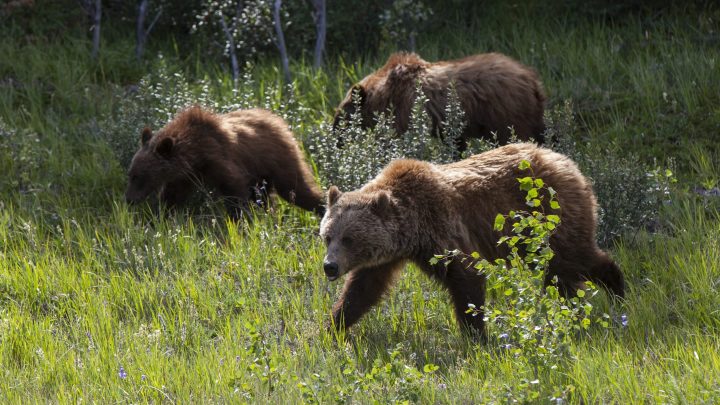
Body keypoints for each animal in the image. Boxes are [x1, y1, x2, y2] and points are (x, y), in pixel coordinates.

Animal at [125, 105, 324, 216]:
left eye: (138, 176)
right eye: (131, 174)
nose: (129, 199)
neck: (195, 154)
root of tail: (278, 120)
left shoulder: (220, 160)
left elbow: (234, 190)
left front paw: (239, 220)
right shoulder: (184, 176)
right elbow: (171, 196)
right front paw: (160, 217)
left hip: (278, 159)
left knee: (295, 189)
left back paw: (322, 208)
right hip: (261, 173)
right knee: (266, 196)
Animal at [320, 144, 624, 336]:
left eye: (349, 238)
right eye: (327, 236)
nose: (329, 266)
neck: (412, 228)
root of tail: (566, 161)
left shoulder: (442, 230)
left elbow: (467, 277)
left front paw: (475, 336)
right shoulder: (385, 257)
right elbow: (362, 290)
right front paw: (333, 328)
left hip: (549, 215)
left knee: (572, 258)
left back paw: (616, 292)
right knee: (562, 270)